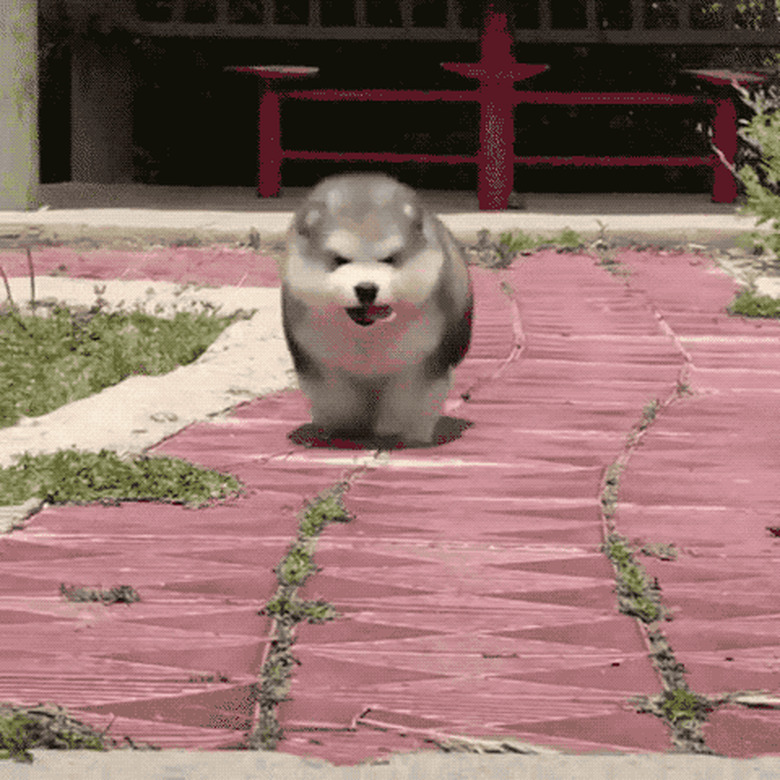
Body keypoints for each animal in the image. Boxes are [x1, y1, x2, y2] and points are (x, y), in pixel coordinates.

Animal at [282, 175, 476, 444]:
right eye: (340, 260)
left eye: (389, 259)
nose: (366, 288)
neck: (368, 337)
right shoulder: (321, 361)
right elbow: (337, 399)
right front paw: (343, 428)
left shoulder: (421, 362)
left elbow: (411, 401)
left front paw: (402, 433)